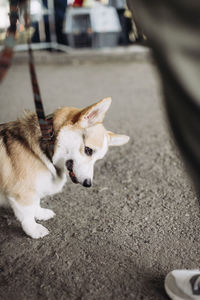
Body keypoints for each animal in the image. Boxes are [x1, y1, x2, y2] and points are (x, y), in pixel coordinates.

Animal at [0, 97, 129, 238]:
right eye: (88, 150)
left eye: (98, 159)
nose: (88, 184)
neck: (48, 145)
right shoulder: (21, 191)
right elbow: (27, 213)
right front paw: (34, 230)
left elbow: (35, 203)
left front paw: (41, 213)